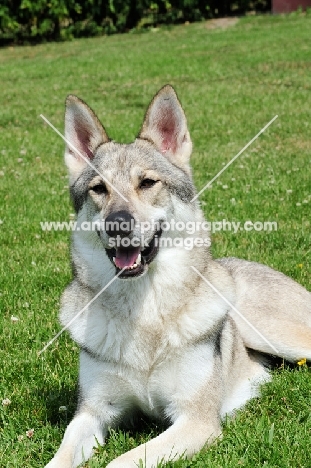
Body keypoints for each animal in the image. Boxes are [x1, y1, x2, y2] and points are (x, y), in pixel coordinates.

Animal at [45, 86, 311, 466]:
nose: (118, 224)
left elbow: (120, 460)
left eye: (147, 183)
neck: (143, 311)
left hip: (275, 334)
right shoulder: (91, 413)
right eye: (99, 189)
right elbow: (61, 456)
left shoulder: (195, 421)